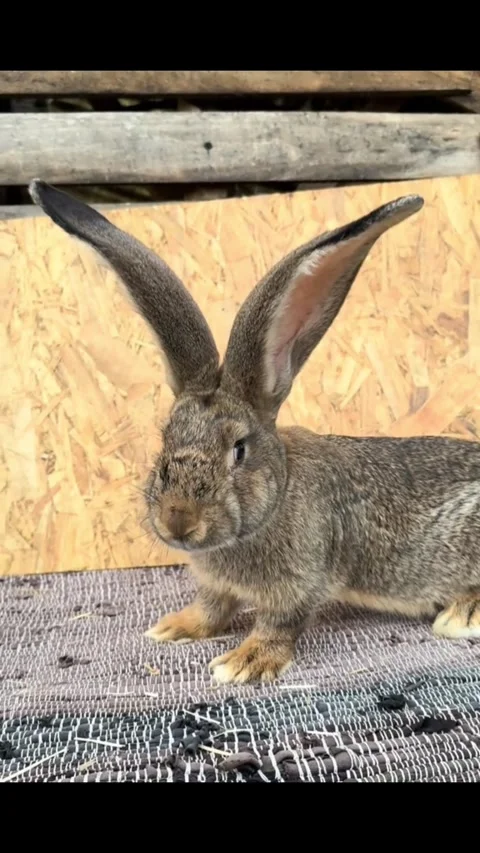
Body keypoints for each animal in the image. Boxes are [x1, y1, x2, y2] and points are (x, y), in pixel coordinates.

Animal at [29, 179, 480, 685]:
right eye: (165, 439)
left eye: (238, 450)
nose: (178, 520)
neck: (275, 498)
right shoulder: (216, 586)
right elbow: (212, 608)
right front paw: (174, 627)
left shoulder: (299, 584)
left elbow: (278, 625)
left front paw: (243, 663)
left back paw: (463, 614)